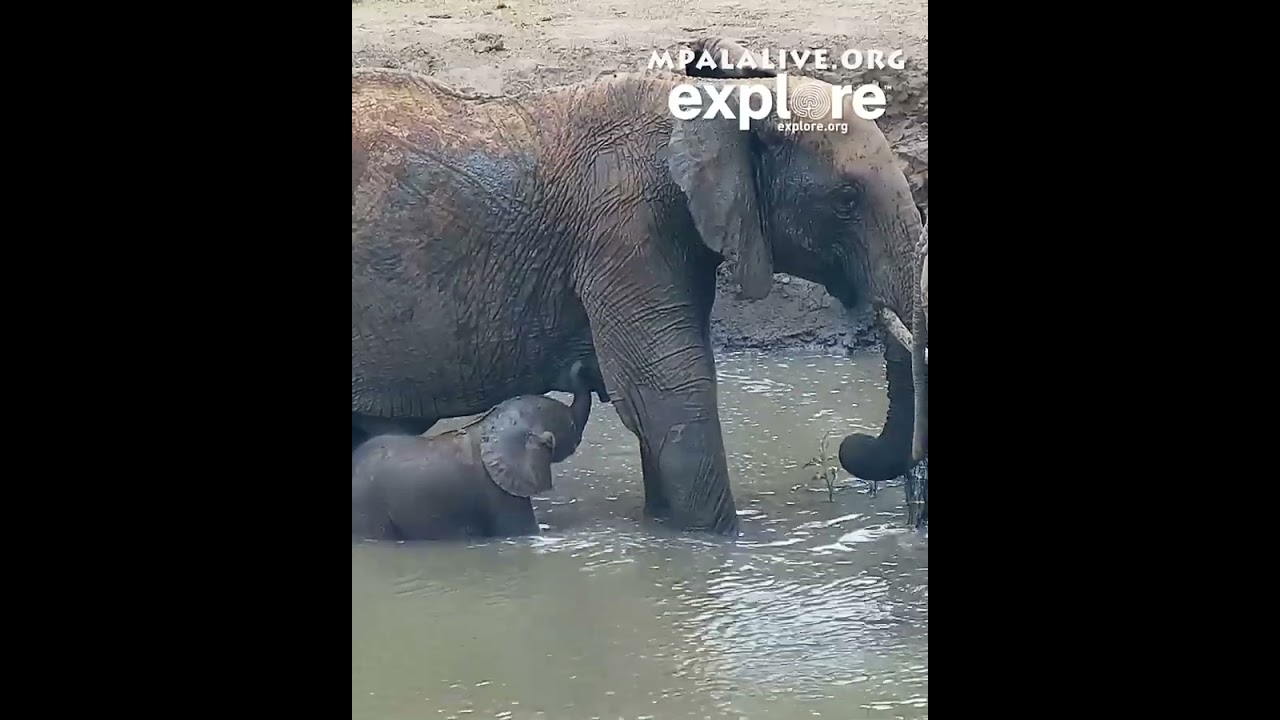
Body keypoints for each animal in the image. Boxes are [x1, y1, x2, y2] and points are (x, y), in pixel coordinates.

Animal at [351, 361, 595, 541]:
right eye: (571, 426)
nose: (579, 365)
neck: (491, 424)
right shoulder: (499, 493)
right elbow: (523, 532)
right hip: (367, 510)